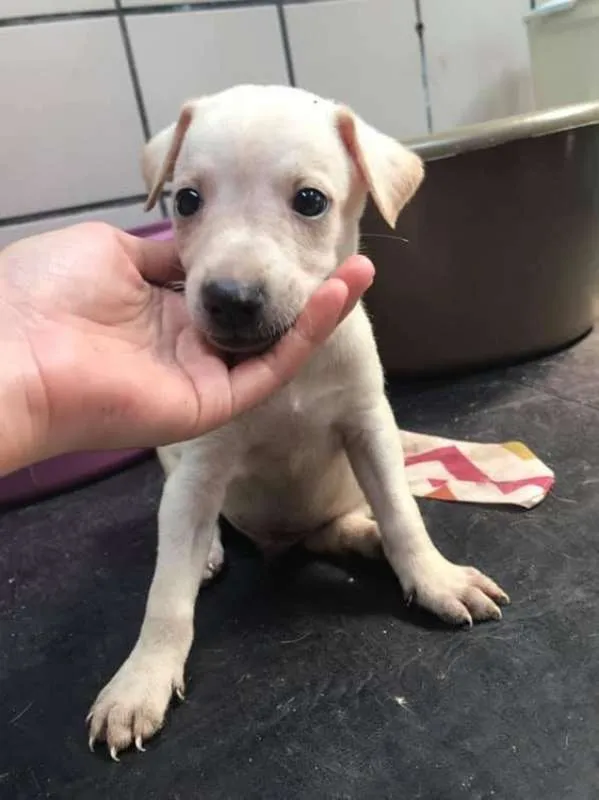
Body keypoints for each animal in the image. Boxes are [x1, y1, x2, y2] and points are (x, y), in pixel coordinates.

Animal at [88, 84, 510, 760]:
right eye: (186, 200)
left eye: (310, 201)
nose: (231, 299)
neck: (288, 377)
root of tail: (280, 540)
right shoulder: (200, 468)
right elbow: (167, 593)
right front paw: (141, 679)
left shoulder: (369, 428)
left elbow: (403, 515)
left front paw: (433, 577)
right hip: (171, 458)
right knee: (194, 527)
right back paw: (211, 552)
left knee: (338, 528)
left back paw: (365, 538)